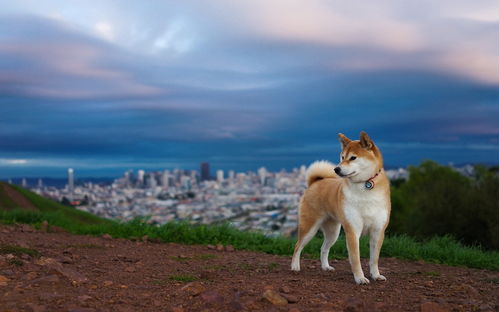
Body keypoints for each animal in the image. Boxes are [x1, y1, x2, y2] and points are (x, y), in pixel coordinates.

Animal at [292, 130, 392, 284]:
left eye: (353, 158)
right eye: (342, 157)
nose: (336, 168)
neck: (365, 185)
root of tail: (315, 183)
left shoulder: (378, 231)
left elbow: (374, 259)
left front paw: (376, 275)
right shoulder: (353, 231)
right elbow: (356, 259)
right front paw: (360, 278)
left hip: (333, 232)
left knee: (323, 248)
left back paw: (325, 267)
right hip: (309, 227)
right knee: (298, 246)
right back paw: (295, 267)